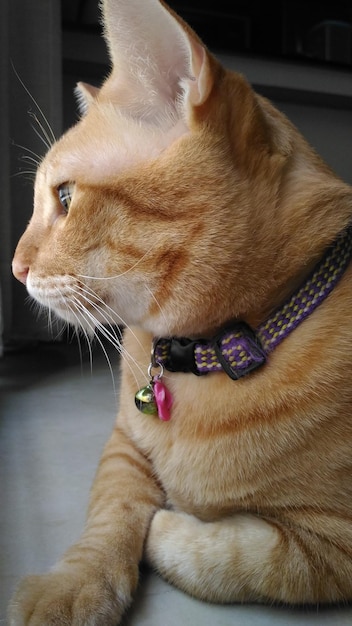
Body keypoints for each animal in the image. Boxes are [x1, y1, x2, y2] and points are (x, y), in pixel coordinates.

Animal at [8, 0, 352, 620]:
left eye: (65, 199)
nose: (13, 268)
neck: (204, 355)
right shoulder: (123, 443)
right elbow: (112, 512)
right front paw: (74, 584)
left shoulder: (331, 546)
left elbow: (238, 557)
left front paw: (171, 522)